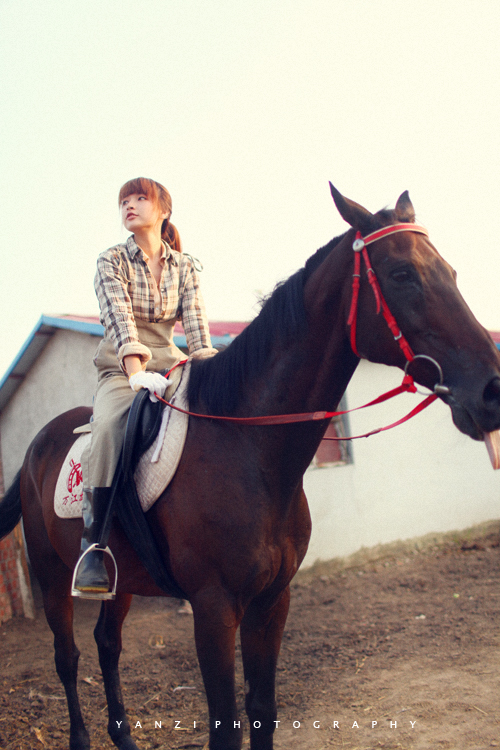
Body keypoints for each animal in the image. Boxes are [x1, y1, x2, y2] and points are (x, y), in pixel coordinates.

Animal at [2, 184, 500, 750]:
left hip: (119, 580)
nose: (491, 391)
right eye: (401, 274)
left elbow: (262, 710)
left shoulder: (272, 600)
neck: (247, 447)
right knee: (68, 657)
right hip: (51, 573)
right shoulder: (214, 608)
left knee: (108, 644)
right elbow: (226, 723)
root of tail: (37, 445)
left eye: (451, 273)